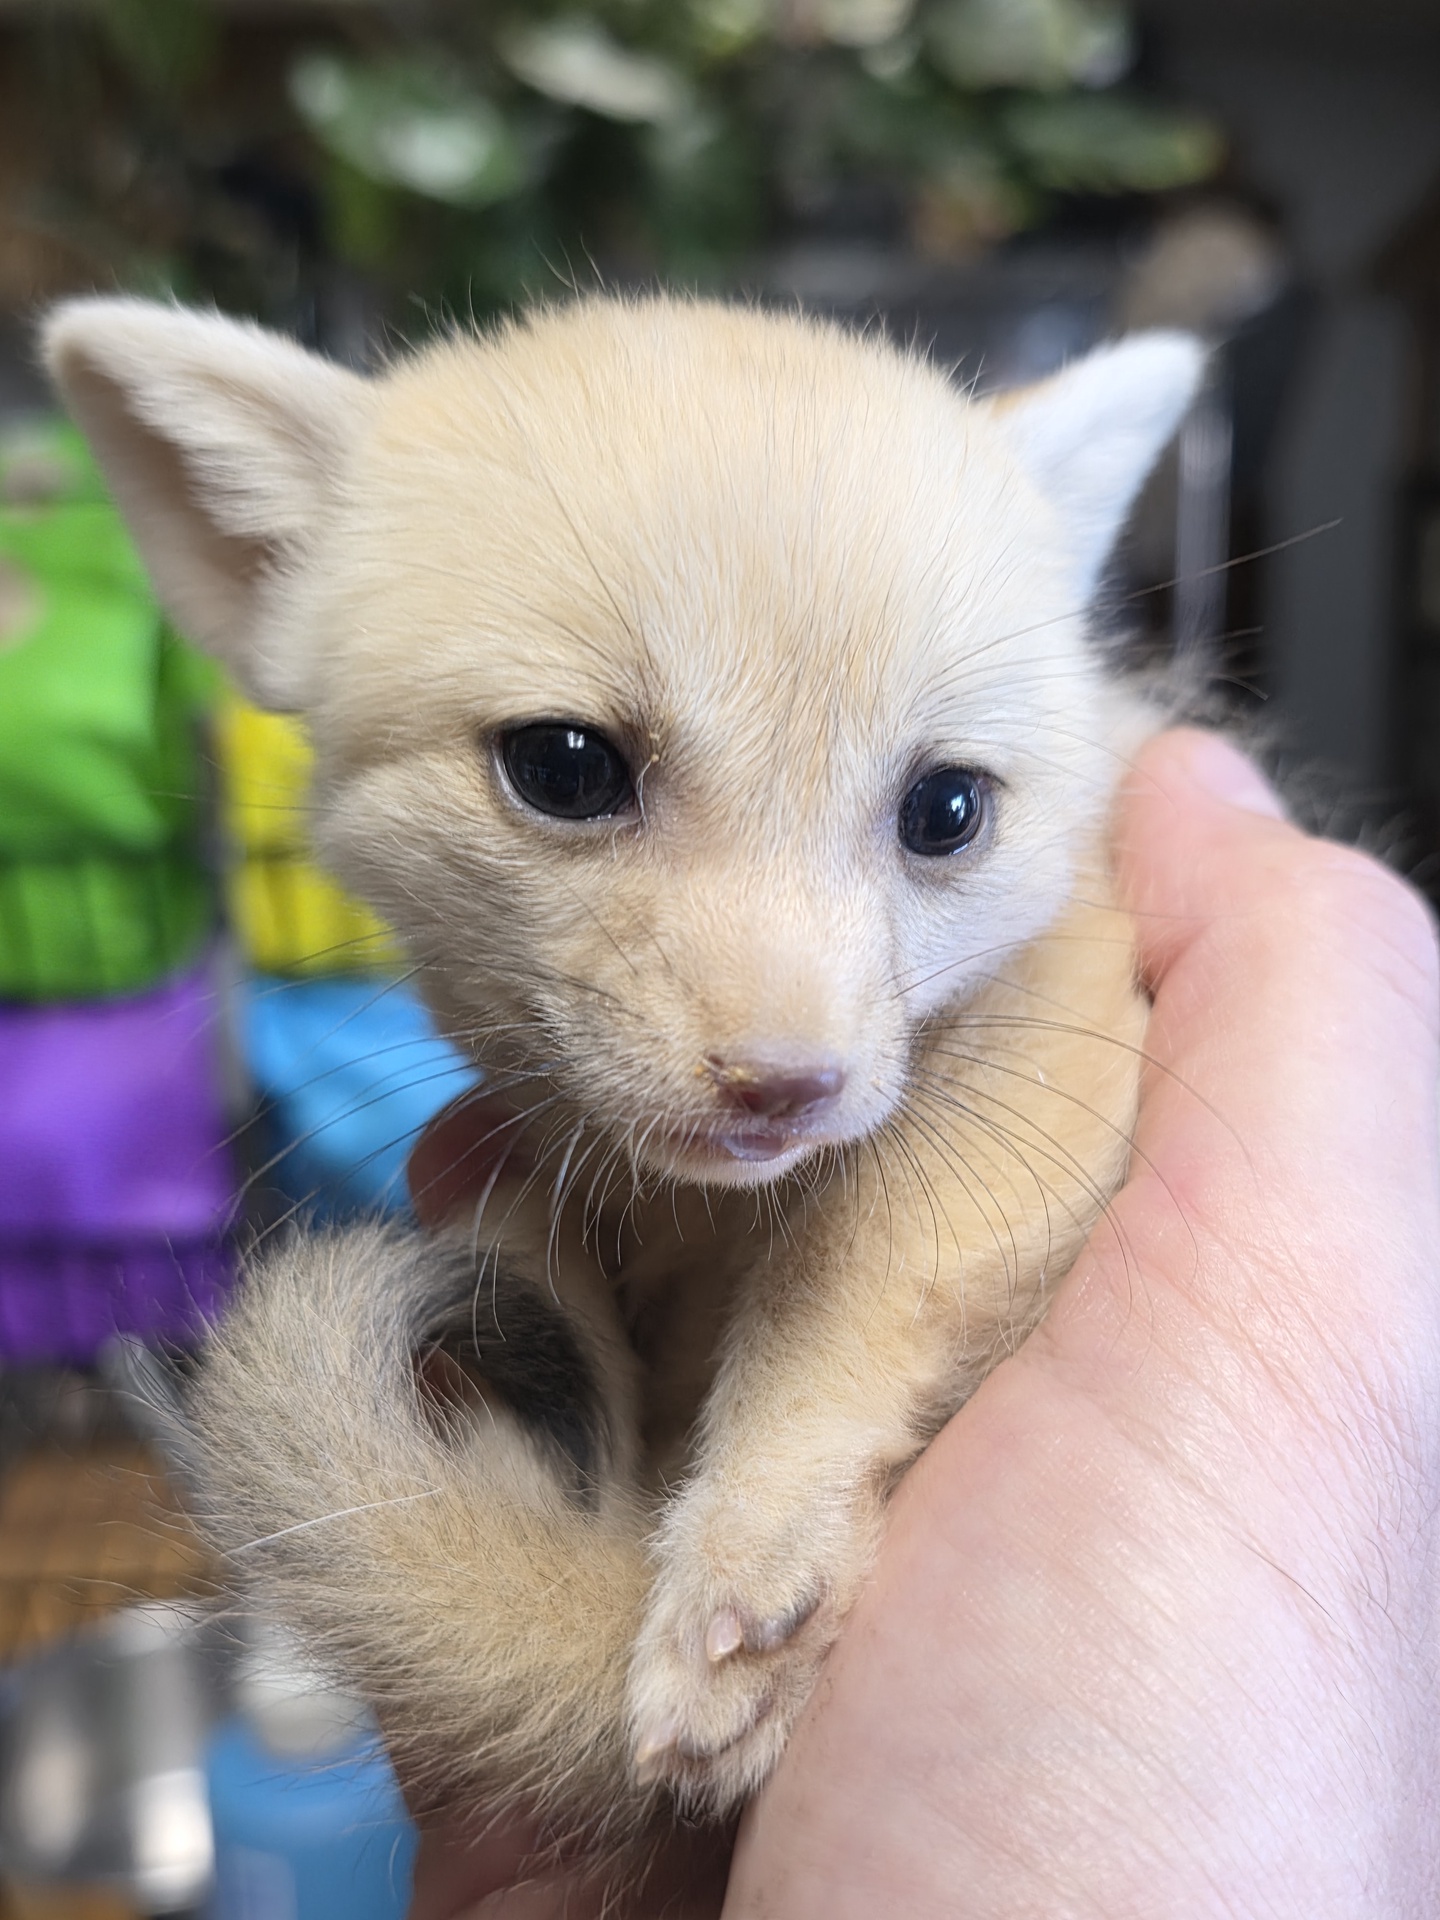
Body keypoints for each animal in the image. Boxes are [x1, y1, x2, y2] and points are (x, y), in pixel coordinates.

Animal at [44, 293, 1201, 1867]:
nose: (789, 1087)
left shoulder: (1058, 1024)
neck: (701, 1223)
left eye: (947, 810)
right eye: (566, 767)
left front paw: (750, 1557)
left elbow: (843, 1296)